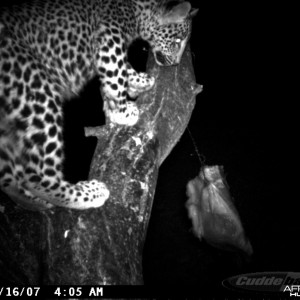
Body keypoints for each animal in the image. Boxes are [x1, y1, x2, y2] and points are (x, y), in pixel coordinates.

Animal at [0, 0, 198, 211]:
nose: (175, 63)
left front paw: (140, 82)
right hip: (36, 91)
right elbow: (117, 73)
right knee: (37, 176)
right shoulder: (109, 39)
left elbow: (125, 69)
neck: (136, 10)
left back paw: (34, 204)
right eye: (177, 40)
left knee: (11, 180)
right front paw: (123, 111)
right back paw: (89, 194)